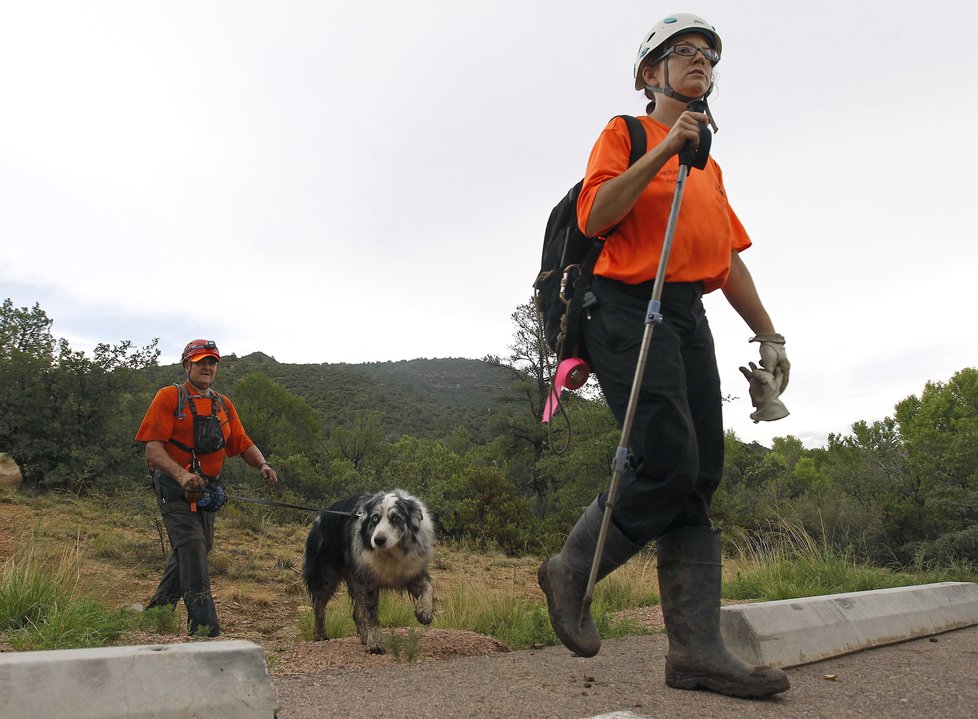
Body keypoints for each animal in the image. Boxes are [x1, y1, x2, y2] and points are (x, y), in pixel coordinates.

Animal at [300, 490, 432, 652]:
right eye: (375, 518)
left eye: (396, 518)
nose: (378, 540)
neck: (390, 554)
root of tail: (322, 515)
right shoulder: (368, 581)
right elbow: (371, 613)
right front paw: (375, 643)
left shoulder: (411, 572)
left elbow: (428, 587)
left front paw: (424, 612)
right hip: (325, 575)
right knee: (319, 606)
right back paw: (320, 635)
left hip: (354, 579)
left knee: (356, 613)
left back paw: (363, 637)